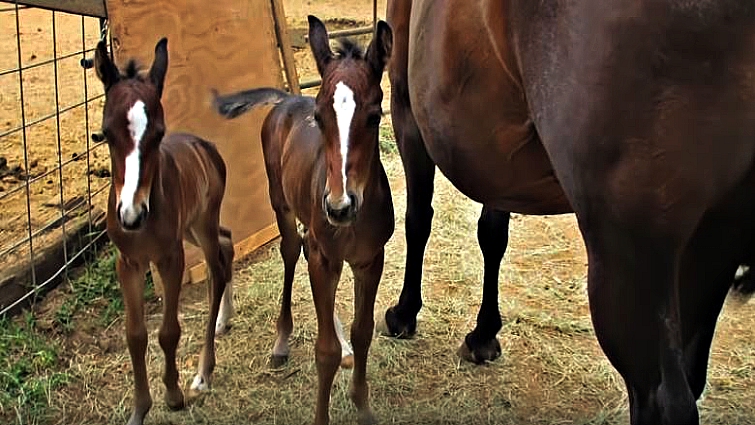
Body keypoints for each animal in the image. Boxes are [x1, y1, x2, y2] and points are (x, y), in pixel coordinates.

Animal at [96, 38, 235, 424]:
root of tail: (207, 146)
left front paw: (173, 396)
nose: (130, 215)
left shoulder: (170, 257)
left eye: (158, 134)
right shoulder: (128, 262)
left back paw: (204, 372)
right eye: (106, 133)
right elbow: (135, 335)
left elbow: (169, 331)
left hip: (201, 223)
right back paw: (223, 321)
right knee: (227, 241)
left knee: (218, 266)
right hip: (192, 227)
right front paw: (139, 408)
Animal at [214, 15, 396, 424]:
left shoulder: (370, 259)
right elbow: (325, 350)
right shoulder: (322, 257)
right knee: (290, 249)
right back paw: (281, 340)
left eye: (374, 116)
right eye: (319, 117)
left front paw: (362, 404)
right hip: (280, 203)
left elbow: (363, 332)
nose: (339, 207)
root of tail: (286, 99)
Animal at [386, 0, 755, 424]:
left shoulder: (405, 109)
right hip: (710, 245)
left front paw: (404, 313)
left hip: (632, 263)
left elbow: (417, 221)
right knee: (691, 377)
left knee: (662, 398)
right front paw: (484, 335)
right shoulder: (497, 163)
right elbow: (492, 235)